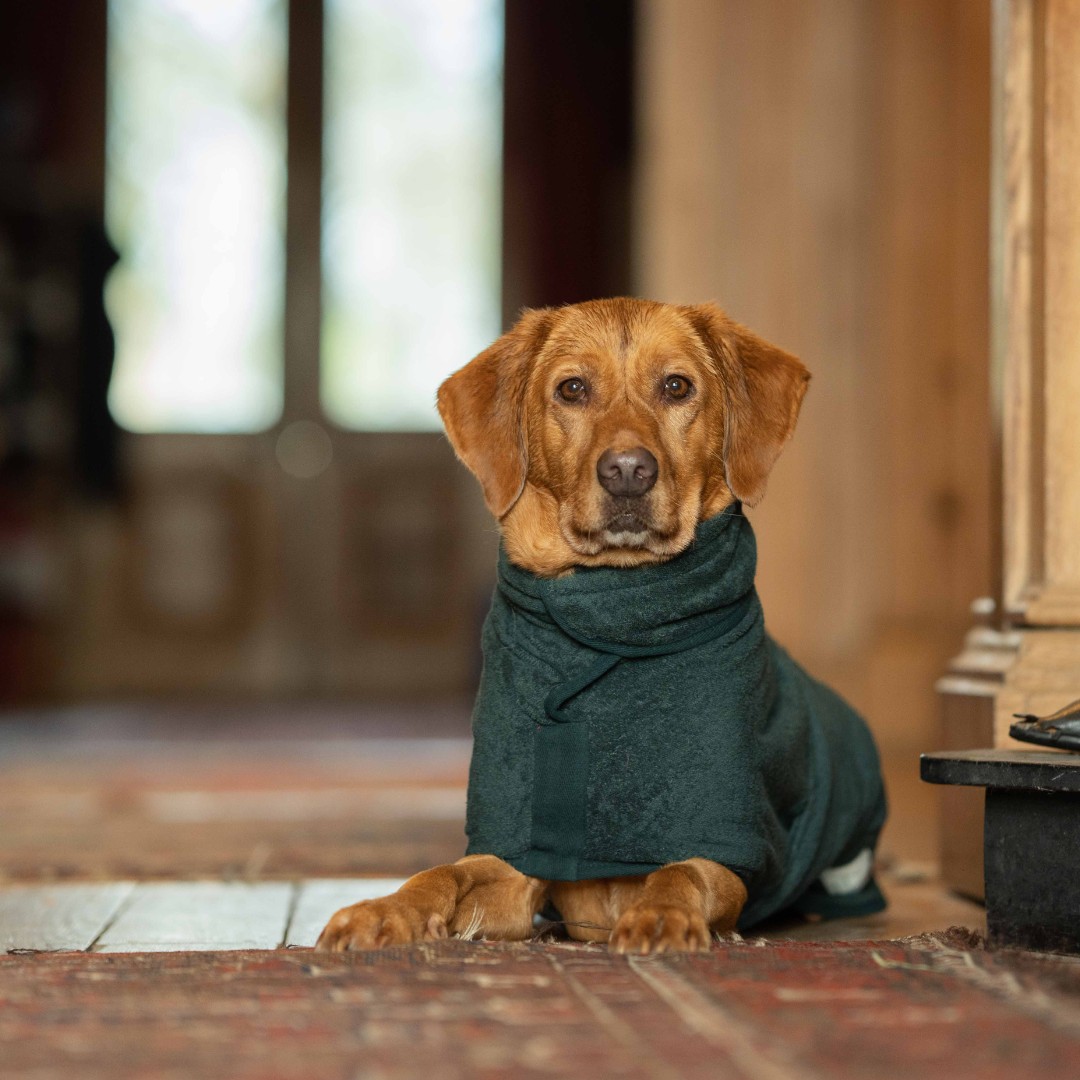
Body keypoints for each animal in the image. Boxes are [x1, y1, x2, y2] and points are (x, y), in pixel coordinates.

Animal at [315, 298, 885, 954]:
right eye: (572, 389)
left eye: (676, 386)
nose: (628, 472)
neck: (614, 603)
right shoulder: (514, 857)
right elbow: (441, 873)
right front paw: (384, 910)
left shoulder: (722, 844)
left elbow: (680, 871)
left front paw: (662, 915)